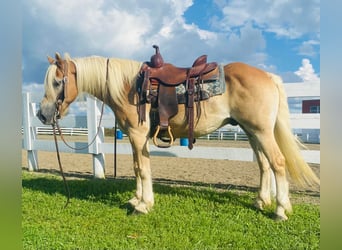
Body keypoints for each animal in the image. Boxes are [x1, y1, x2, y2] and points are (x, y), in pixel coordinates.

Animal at [36, 51, 320, 220]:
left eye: (58, 82)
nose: (42, 114)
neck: (129, 87)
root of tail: (268, 76)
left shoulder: (138, 135)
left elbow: (142, 169)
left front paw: (143, 205)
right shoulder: (134, 137)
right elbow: (138, 167)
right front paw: (136, 199)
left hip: (261, 131)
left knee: (278, 163)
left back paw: (281, 210)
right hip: (252, 132)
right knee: (264, 165)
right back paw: (262, 201)